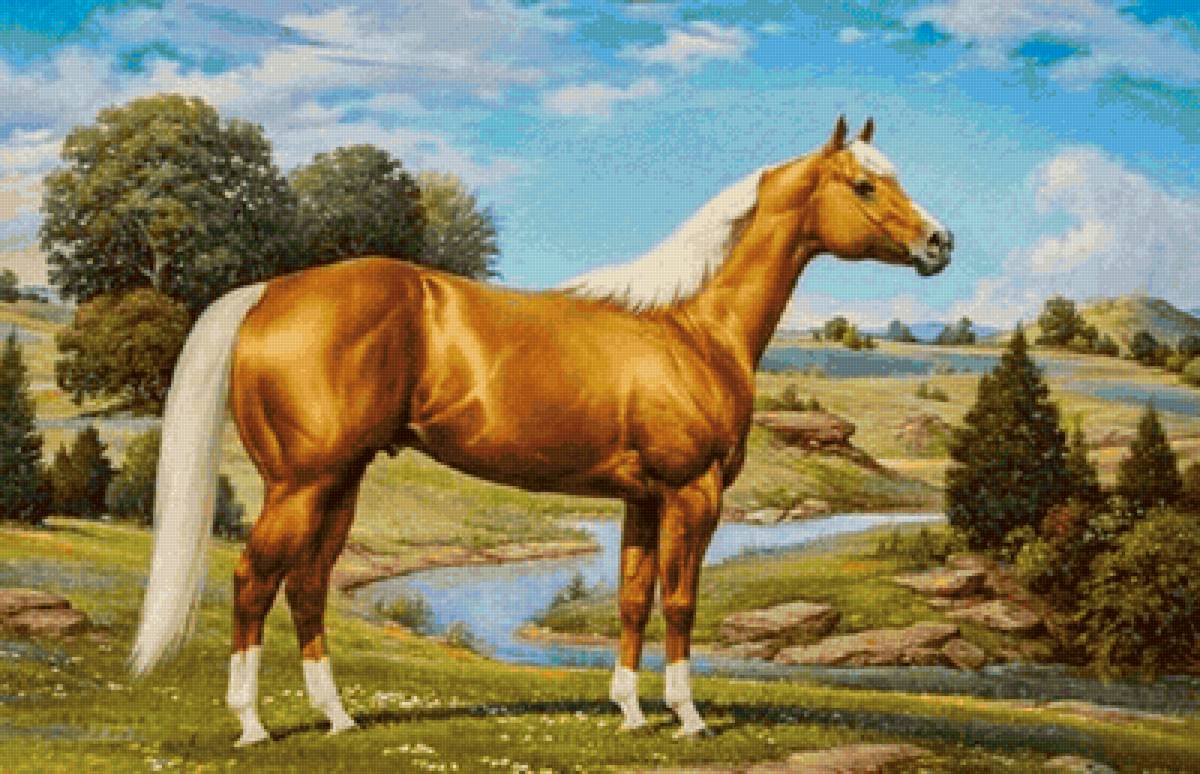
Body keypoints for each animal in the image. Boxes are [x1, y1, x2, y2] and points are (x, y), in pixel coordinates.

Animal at [130, 115, 952, 745]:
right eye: (864, 185)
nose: (940, 243)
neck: (692, 328)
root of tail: (269, 291)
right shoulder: (693, 494)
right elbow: (682, 601)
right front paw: (686, 717)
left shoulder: (642, 500)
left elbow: (632, 597)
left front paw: (629, 711)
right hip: (303, 483)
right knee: (253, 581)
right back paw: (253, 725)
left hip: (340, 481)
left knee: (306, 586)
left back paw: (338, 719)